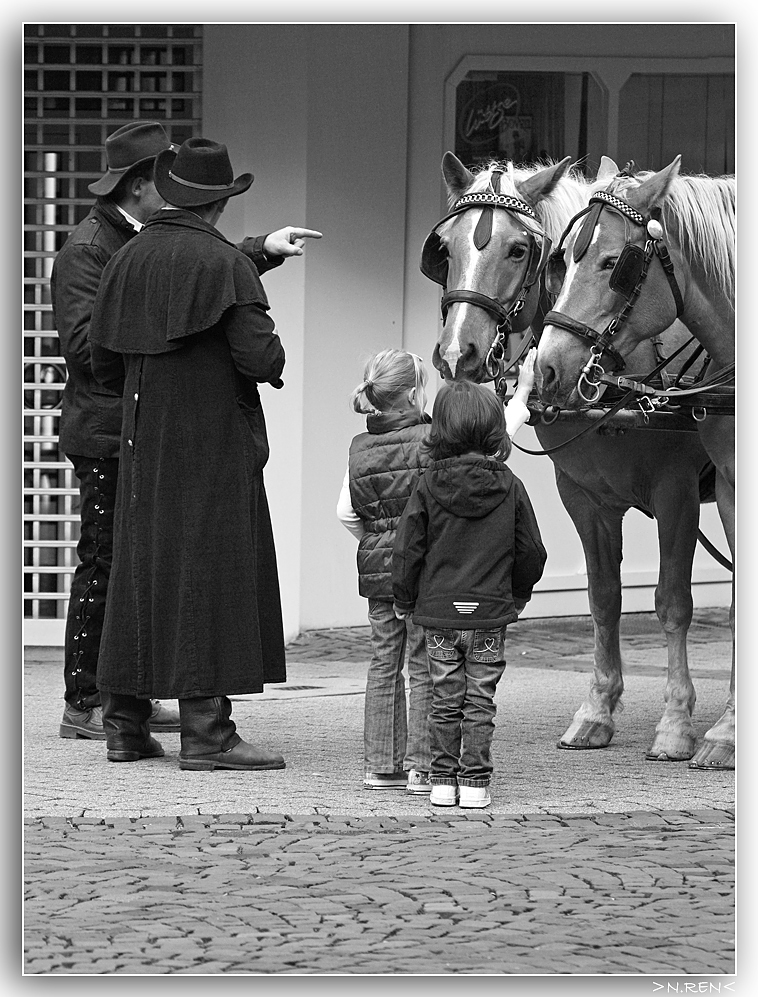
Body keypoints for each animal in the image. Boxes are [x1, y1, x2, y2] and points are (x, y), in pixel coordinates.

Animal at [428, 152, 732, 768]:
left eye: (519, 249)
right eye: (444, 248)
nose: (455, 352)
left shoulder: (677, 492)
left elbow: (671, 603)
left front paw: (676, 723)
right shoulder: (584, 498)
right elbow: (603, 599)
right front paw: (597, 711)